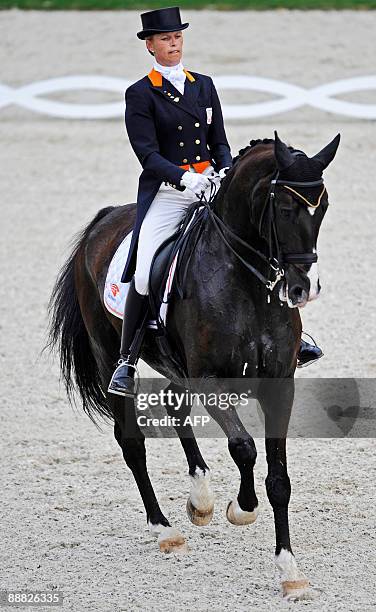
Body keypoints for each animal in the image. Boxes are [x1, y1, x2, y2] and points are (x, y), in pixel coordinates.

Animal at [48, 131, 340, 600]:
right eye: (283, 208)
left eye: (324, 206)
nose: (303, 289)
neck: (246, 281)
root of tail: (105, 220)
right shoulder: (210, 380)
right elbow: (244, 447)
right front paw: (241, 508)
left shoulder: (280, 384)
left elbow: (279, 479)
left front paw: (290, 573)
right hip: (111, 356)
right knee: (132, 442)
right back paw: (164, 529)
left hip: (175, 366)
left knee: (174, 403)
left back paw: (199, 501)